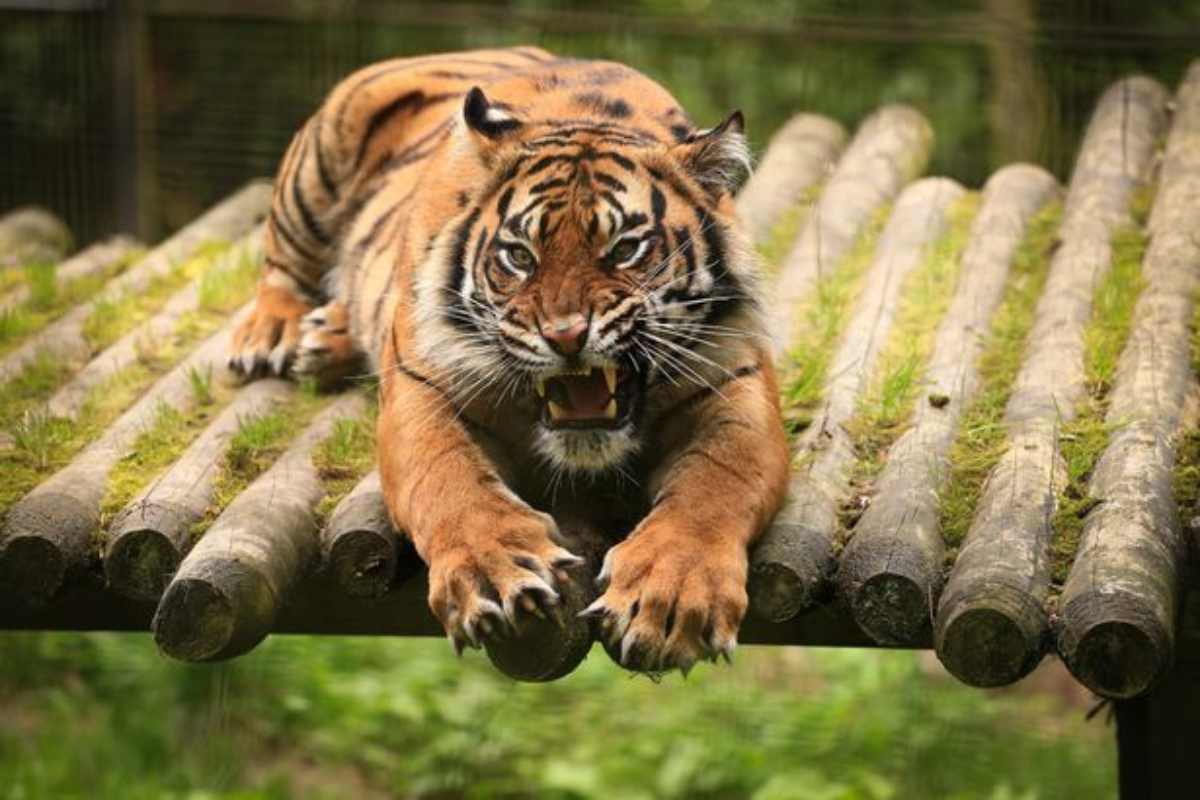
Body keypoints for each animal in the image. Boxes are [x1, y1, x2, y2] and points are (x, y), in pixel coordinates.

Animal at [231, 47, 796, 671]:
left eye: (626, 249)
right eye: (520, 256)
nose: (566, 336)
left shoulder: (737, 387)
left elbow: (714, 487)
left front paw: (668, 596)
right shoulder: (420, 390)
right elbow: (449, 480)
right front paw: (496, 571)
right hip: (322, 151)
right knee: (279, 267)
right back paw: (274, 335)